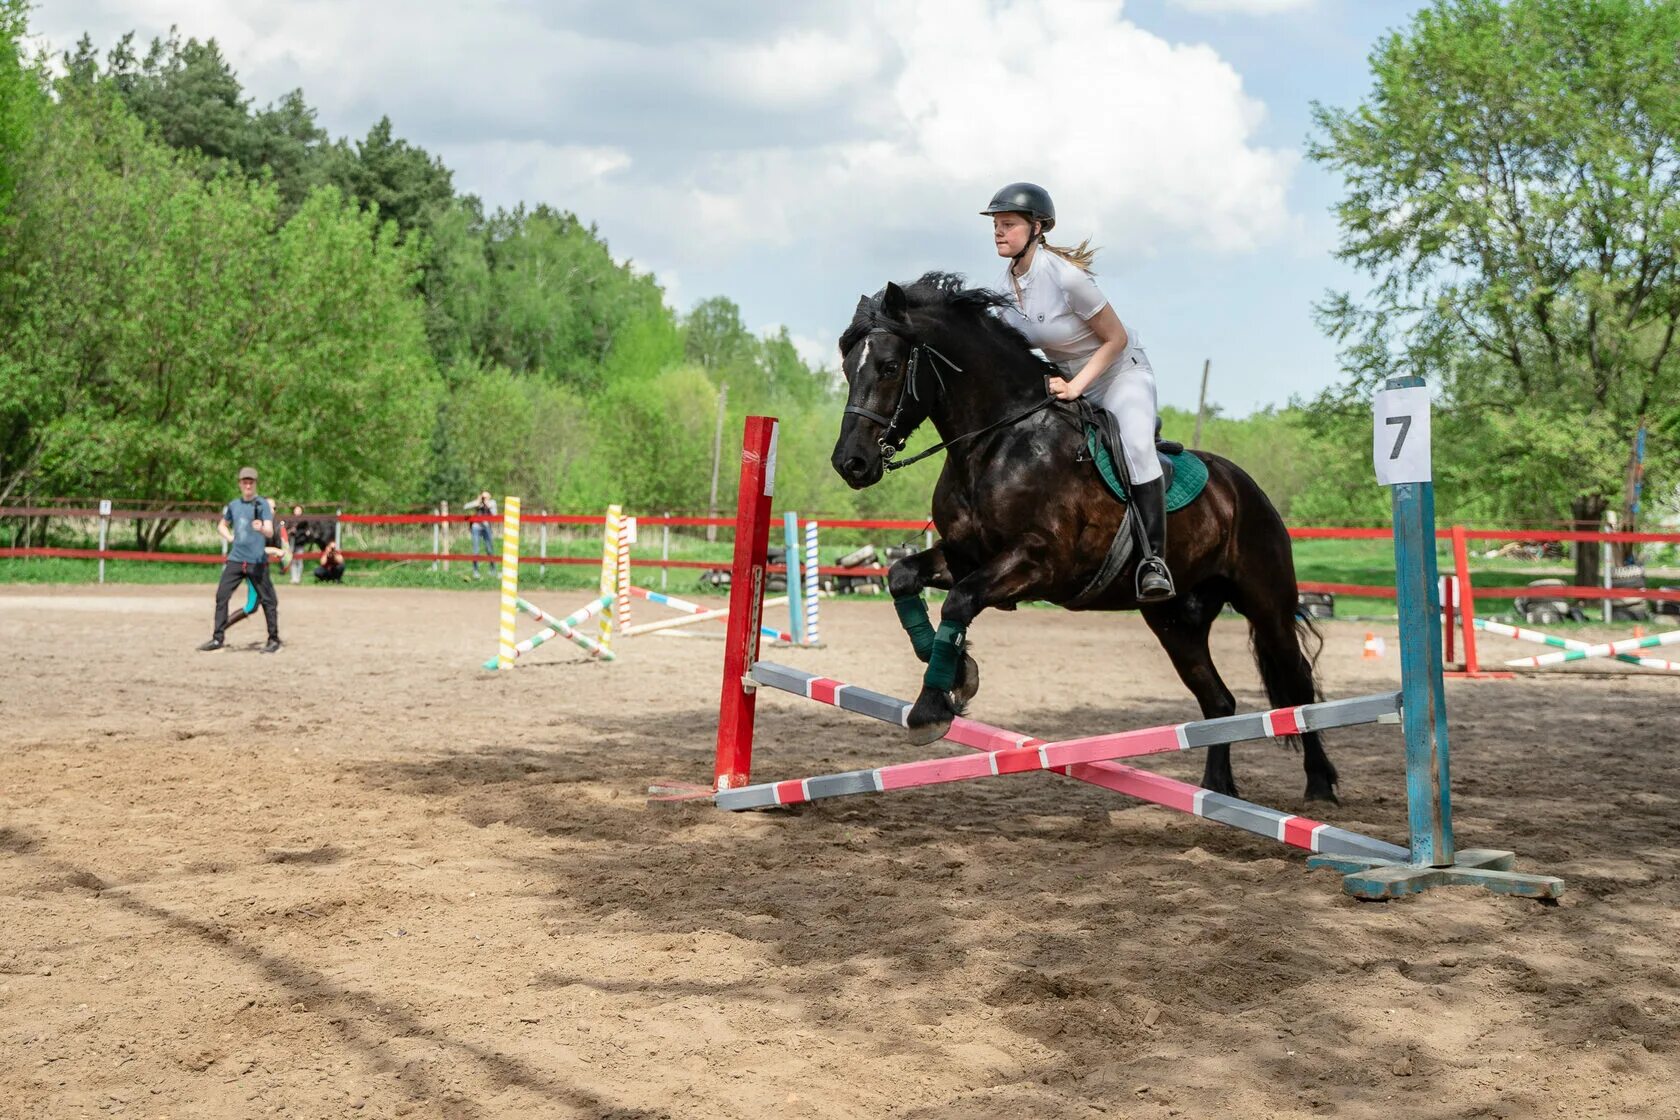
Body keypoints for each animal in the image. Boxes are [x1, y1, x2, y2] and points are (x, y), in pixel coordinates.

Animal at [829, 275, 1337, 802]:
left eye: (890, 367)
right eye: (847, 367)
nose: (851, 463)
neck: (996, 443)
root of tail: (1243, 487)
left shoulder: (1039, 563)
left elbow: (960, 601)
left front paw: (934, 704)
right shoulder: (967, 555)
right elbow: (903, 577)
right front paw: (957, 673)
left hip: (1266, 601)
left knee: (1298, 687)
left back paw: (1319, 784)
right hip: (1176, 620)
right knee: (1218, 700)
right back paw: (1216, 788)